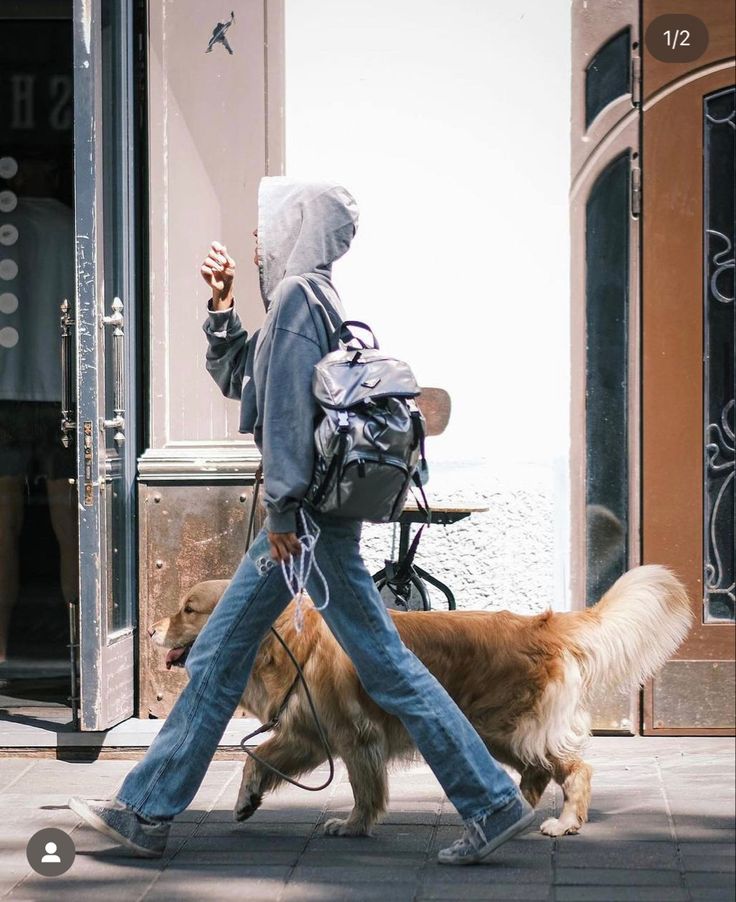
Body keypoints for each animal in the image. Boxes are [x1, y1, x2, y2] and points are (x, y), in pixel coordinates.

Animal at [150, 568, 688, 844]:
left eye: (188, 609)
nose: (152, 630)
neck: (287, 642)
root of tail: (544, 624)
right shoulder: (307, 733)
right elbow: (254, 762)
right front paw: (246, 800)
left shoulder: (355, 737)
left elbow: (365, 789)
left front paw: (353, 826)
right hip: (493, 730)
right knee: (536, 772)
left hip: (512, 726)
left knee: (575, 769)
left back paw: (564, 822)